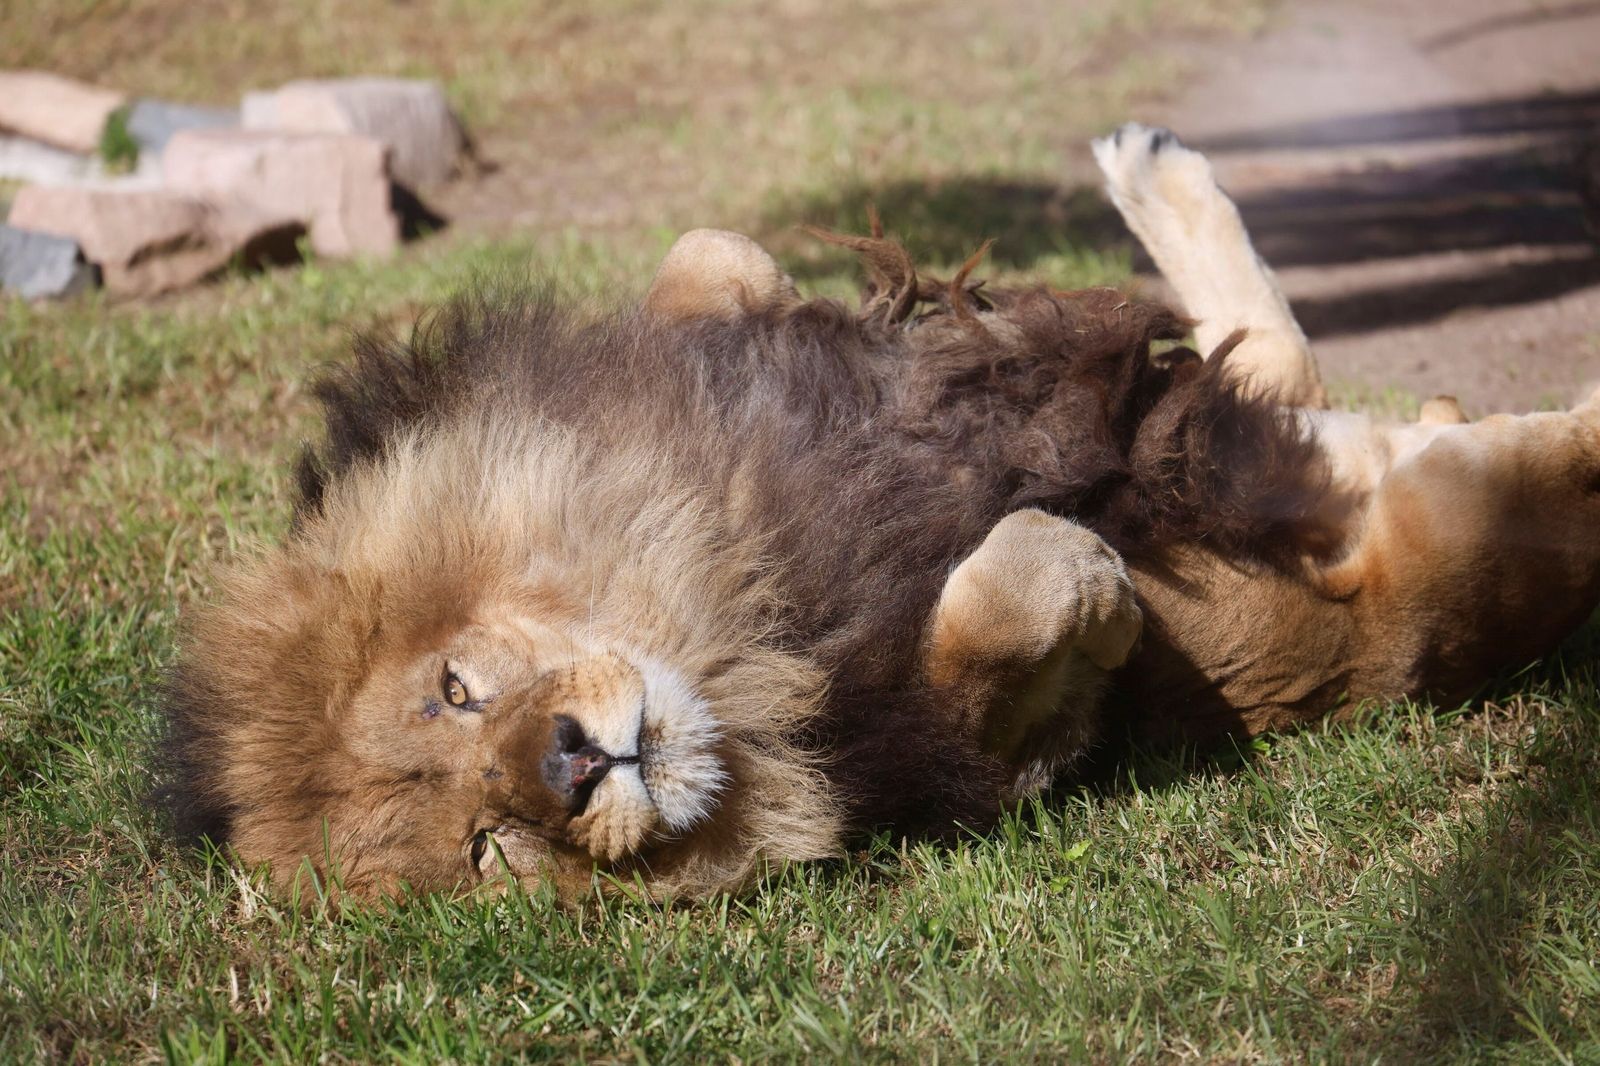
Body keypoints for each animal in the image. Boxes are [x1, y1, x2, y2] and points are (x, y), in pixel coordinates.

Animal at [159, 125, 1600, 901]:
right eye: (489, 850)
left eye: (454, 690)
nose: (570, 765)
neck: (724, 613)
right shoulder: (962, 747)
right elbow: (1004, 599)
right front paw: (1091, 571)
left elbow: (715, 255)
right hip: (1454, 544)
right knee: (1523, 454)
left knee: (1285, 369)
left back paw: (1152, 177)